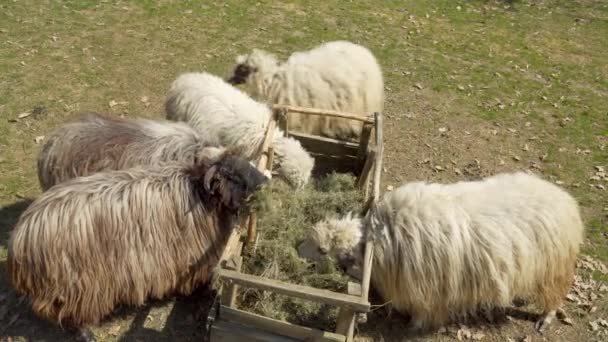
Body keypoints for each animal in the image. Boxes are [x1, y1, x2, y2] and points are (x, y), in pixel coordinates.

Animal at [6, 151, 268, 340]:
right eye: (235, 175)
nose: (266, 179)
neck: (200, 195)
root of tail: (20, 238)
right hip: (76, 284)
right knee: (70, 313)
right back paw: (86, 333)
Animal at [300, 172, 584, 332]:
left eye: (322, 249)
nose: (297, 251)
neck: (380, 240)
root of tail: (565, 199)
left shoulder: (429, 288)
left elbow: (424, 311)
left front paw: (415, 325)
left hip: (554, 268)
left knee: (555, 295)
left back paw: (545, 319)